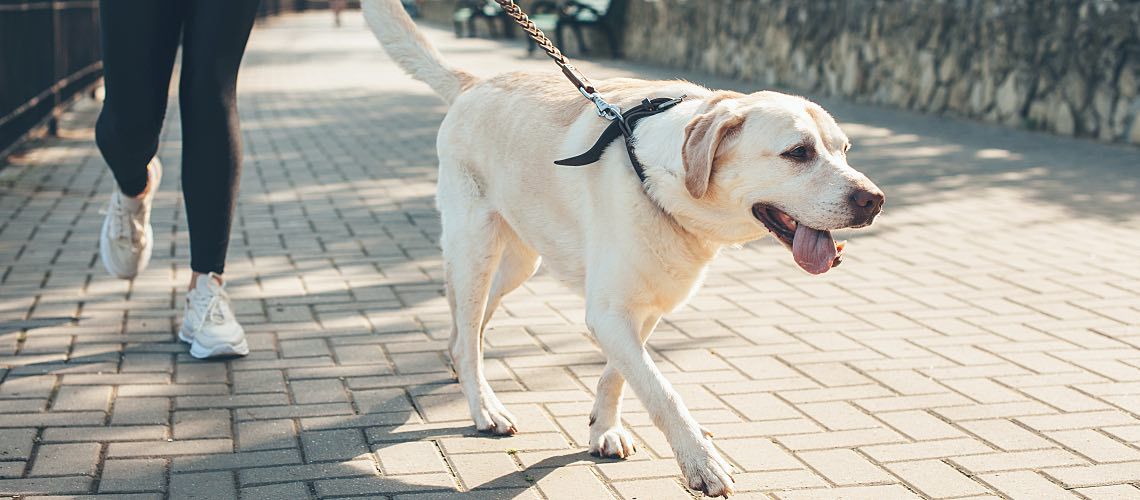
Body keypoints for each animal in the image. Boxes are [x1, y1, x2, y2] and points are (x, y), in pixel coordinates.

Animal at [364, 0, 880, 494]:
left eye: (845, 150)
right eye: (798, 152)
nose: (874, 200)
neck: (661, 178)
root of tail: (474, 83)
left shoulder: (643, 307)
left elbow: (619, 374)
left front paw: (603, 429)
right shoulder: (609, 311)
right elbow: (661, 390)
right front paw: (701, 461)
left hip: (518, 264)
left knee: (464, 333)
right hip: (476, 249)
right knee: (470, 336)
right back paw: (484, 407)